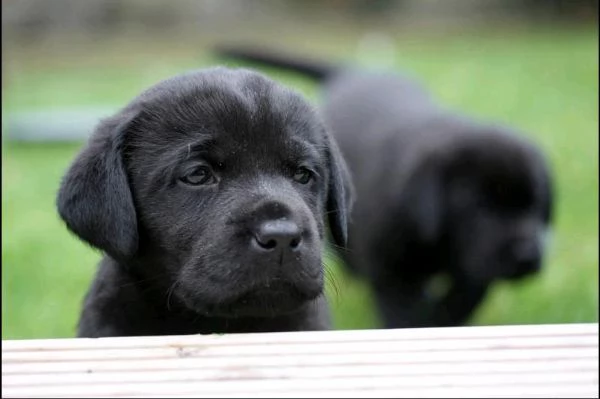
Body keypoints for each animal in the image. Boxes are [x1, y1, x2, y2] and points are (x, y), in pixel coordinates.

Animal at [218, 47, 556, 328]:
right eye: (478, 207)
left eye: (535, 205)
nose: (526, 256)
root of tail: (353, 72)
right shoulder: (393, 269)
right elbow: (403, 310)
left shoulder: (473, 263)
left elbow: (465, 295)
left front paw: (444, 316)